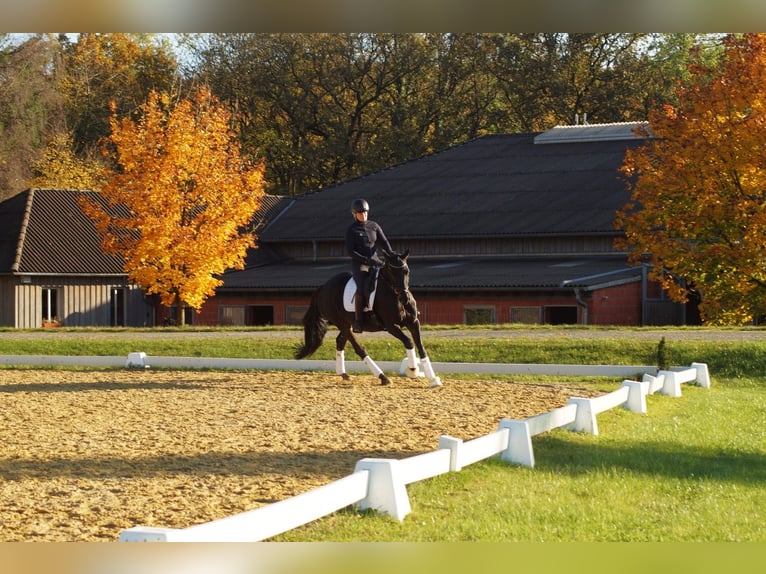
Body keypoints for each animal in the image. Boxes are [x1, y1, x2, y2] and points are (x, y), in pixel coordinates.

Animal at [298, 251, 448, 390]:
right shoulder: (391, 326)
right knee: (358, 348)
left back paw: (343, 373)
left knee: (340, 341)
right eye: (391, 272)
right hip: (342, 323)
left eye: (406, 271)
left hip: (349, 324)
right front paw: (413, 370)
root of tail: (323, 287)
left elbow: (421, 347)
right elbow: (409, 341)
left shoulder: (413, 322)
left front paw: (433, 379)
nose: (404, 298)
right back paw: (383, 377)